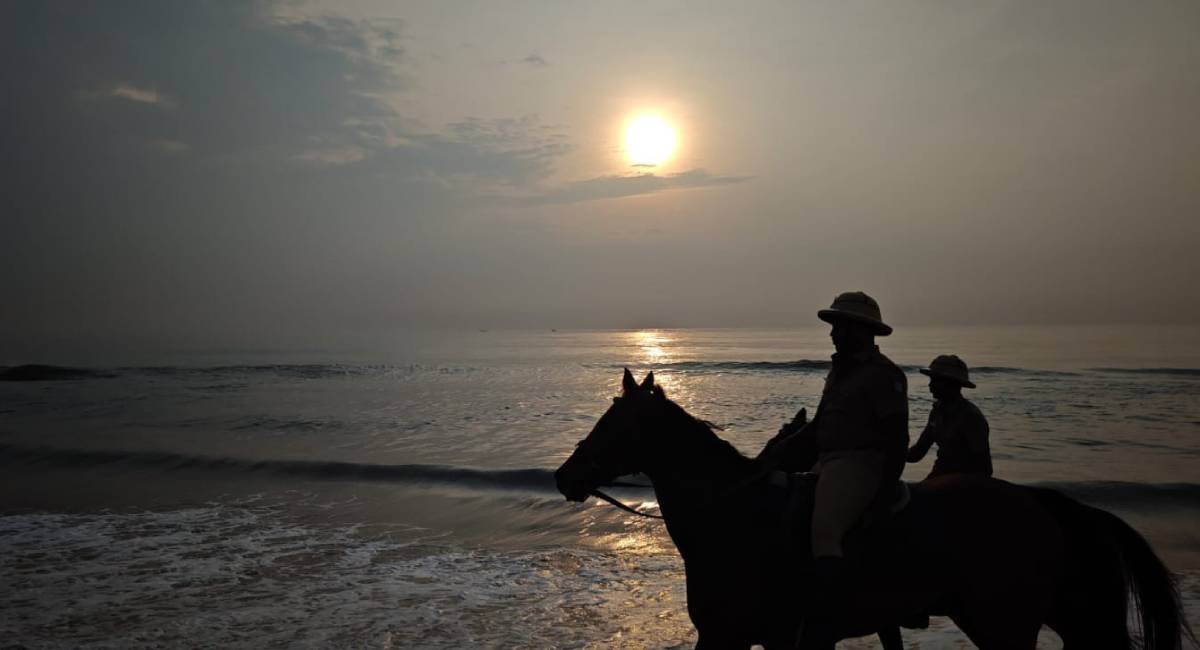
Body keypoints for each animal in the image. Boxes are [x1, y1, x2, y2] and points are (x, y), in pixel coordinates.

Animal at [552, 371, 1190, 650]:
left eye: (614, 422)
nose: (565, 476)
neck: (738, 521)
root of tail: (1043, 504)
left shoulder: (769, 639)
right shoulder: (726, 639)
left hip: (1008, 626)